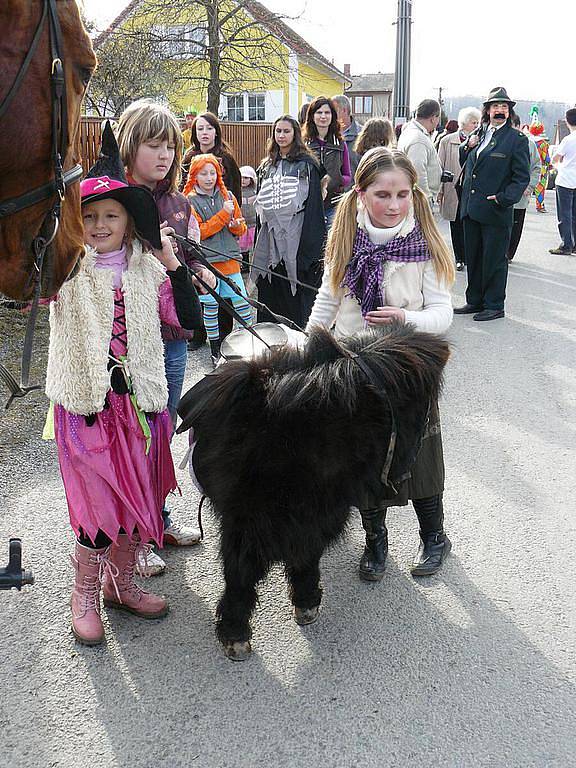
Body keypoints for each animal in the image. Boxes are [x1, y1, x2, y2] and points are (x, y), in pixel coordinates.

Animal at [176, 324, 450, 660]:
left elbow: (306, 554)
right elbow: (241, 573)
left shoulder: (320, 513)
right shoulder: (244, 524)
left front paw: (306, 602)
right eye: (420, 410)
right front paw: (235, 634)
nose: (402, 474)